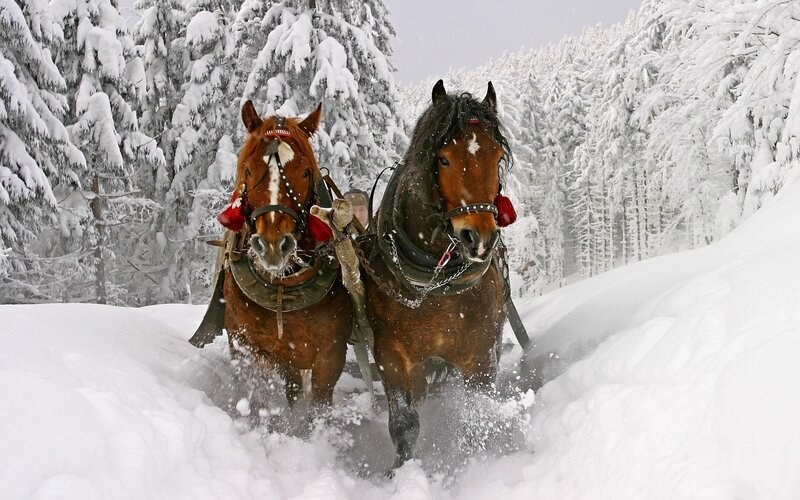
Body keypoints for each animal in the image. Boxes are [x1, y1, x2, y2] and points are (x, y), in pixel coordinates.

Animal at [191, 101, 353, 426]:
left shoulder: (331, 354)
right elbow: (258, 398)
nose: (273, 246)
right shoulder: (249, 346)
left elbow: (319, 405)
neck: (283, 287)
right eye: (249, 169)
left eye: (306, 172)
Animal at [361, 80, 514, 469]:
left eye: (497, 158)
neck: (435, 284)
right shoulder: (391, 354)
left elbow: (478, 413)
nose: (479, 238)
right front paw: (400, 471)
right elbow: (404, 423)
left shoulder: (480, 353)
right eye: (443, 159)